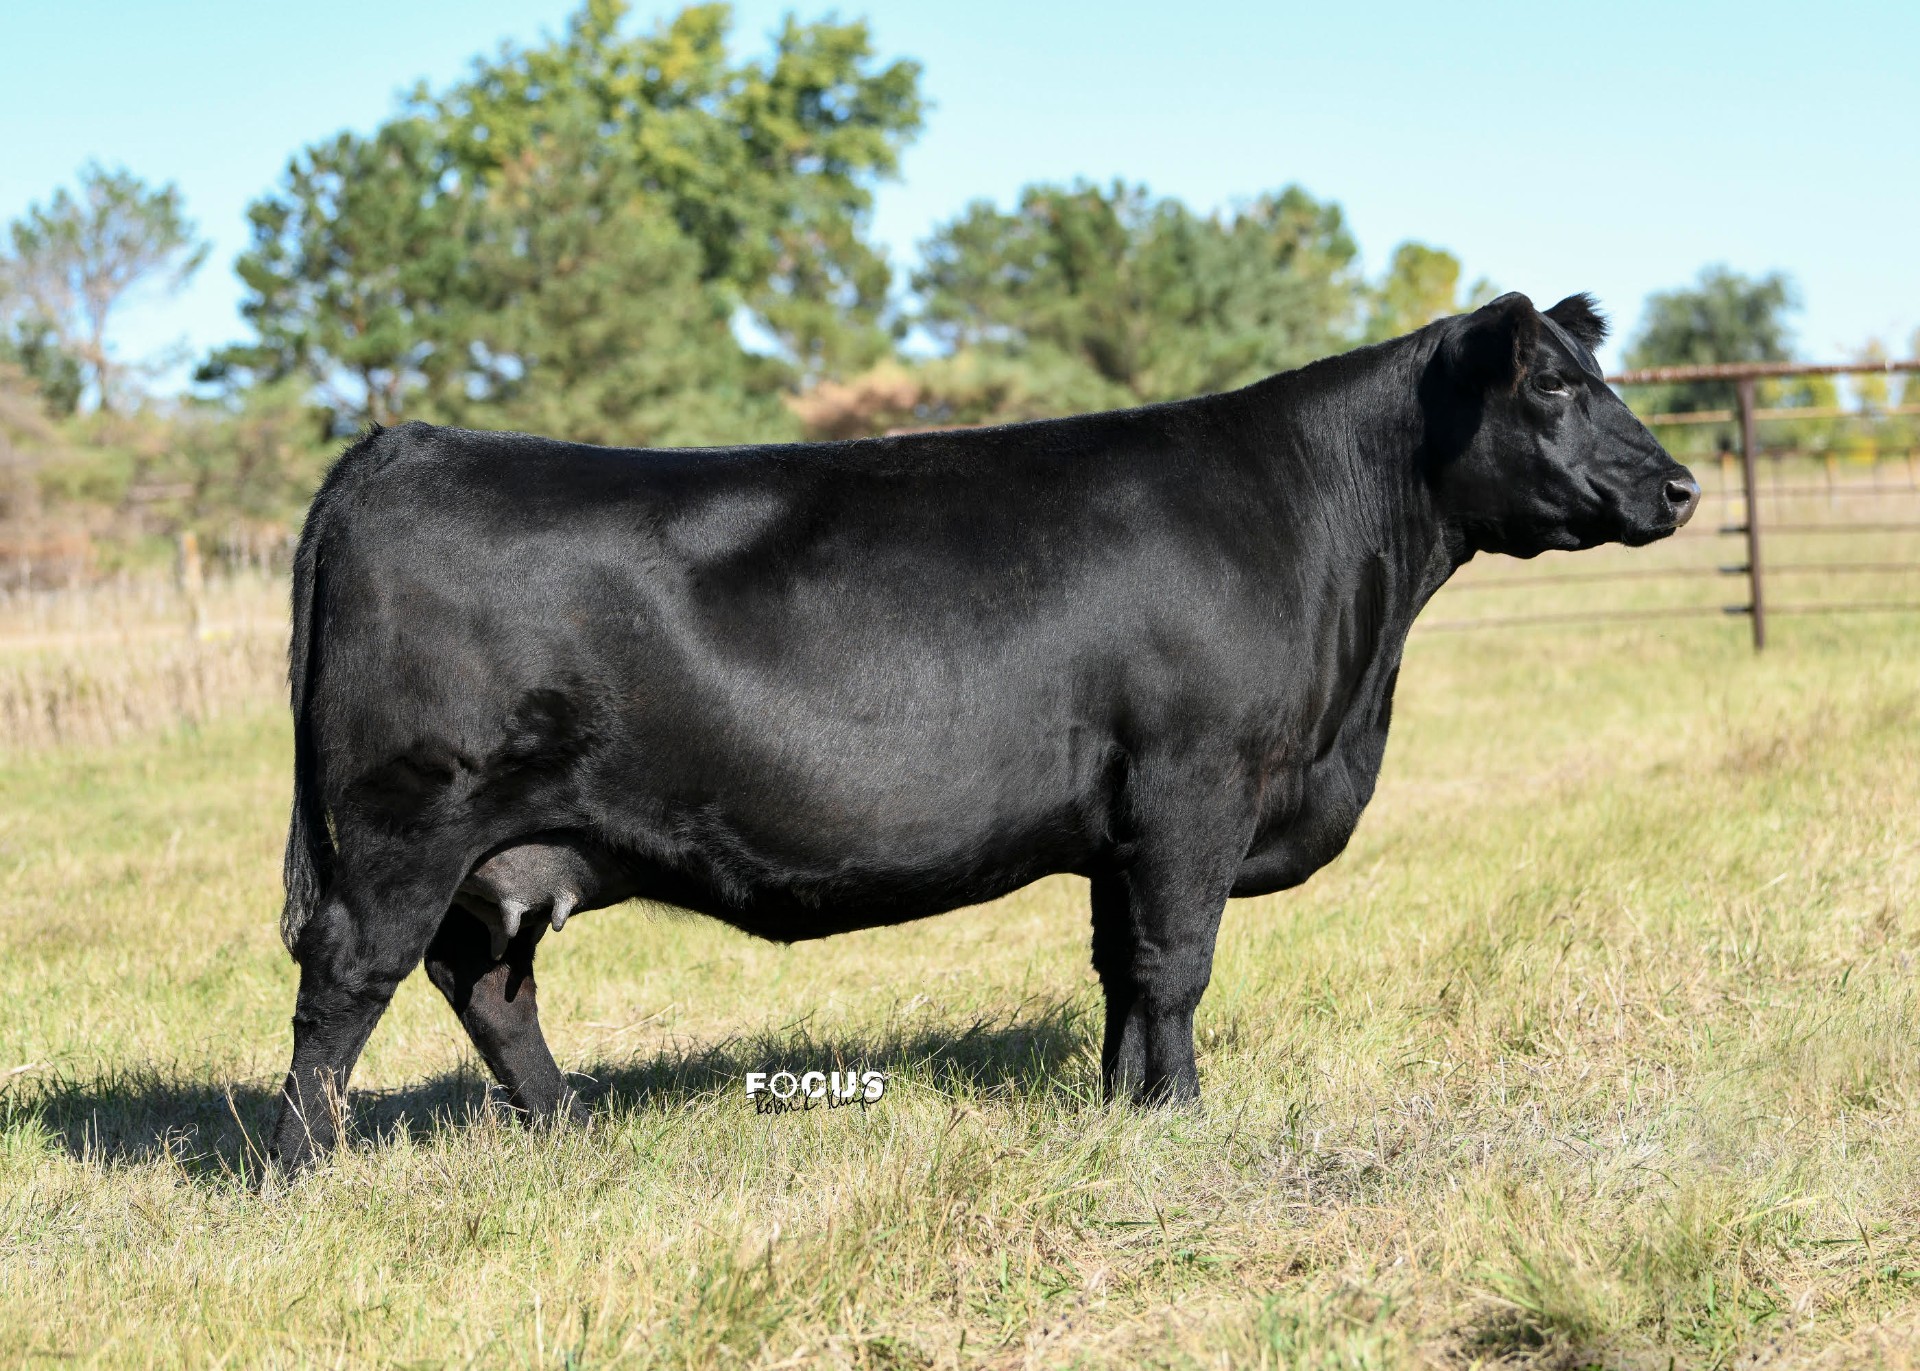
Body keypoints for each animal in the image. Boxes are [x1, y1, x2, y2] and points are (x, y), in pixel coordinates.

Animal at [267, 291, 1699, 1169]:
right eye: (1551, 385)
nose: (1681, 486)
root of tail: (401, 444)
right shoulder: (1193, 784)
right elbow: (1177, 965)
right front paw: (1184, 1121)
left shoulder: (1122, 825)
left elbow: (1122, 972)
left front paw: (1125, 1111)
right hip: (405, 822)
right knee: (344, 983)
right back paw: (301, 1174)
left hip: (493, 850)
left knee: (486, 986)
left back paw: (570, 1132)